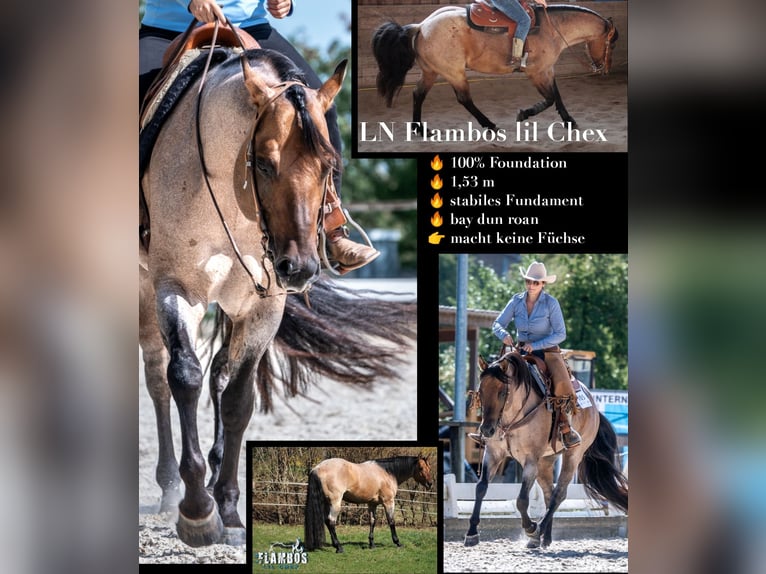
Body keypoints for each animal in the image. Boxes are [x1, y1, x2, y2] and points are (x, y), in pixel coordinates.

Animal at [139, 38, 417, 547]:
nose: (301, 268)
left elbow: (237, 399)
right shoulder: (176, 289)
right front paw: (197, 511)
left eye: (330, 166)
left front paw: (228, 507)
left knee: (219, 374)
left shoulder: (263, 307)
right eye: (265, 164)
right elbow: (183, 376)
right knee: (157, 377)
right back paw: (170, 487)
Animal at [304, 455, 433, 553]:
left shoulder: (372, 504)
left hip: (327, 503)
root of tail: (316, 468)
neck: (387, 472)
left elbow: (372, 521)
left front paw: (372, 544)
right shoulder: (388, 502)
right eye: (420, 468)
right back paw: (339, 547)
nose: (430, 483)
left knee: (327, 521)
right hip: (335, 503)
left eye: (429, 467)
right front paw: (398, 542)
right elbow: (391, 521)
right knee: (331, 521)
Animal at [371, 2, 619, 131]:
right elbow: (549, 98)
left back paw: (419, 129)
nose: (604, 69)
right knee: (464, 99)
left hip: (432, 72)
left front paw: (569, 121)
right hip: (454, 72)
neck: (552, 28)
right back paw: (490, 125)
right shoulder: (536, 72)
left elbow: (557, 96)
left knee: (418, 94)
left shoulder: (548, 70)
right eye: (613, 43)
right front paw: (523, 114)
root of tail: (421, 26)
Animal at [465, 351, 628, 549]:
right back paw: (545, 538)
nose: (487, 430)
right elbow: (481, 488)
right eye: (480, 391)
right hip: (545, 461)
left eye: (502, 392)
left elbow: (521, 500)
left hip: (573, 456)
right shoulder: (493, 454)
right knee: (549, 494)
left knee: (559, 494)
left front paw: (530, 528)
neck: (512, 418)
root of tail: (594, 408)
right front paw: (471, 533)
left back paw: (538, 532)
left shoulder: (530, 460)